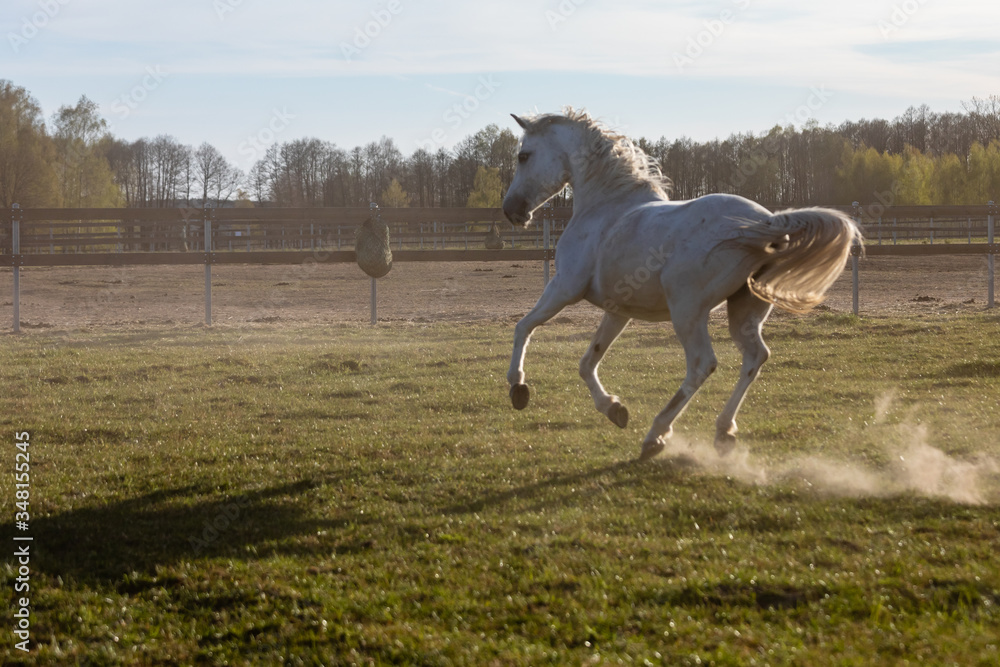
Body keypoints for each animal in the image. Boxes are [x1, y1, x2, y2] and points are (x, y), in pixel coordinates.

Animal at [504, 111, 864, 464]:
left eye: (524, 155)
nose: (512, 211)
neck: (607, 207)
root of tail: (767, 222)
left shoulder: (564, 287)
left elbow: (524, 327)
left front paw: (518, 388)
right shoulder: (618, 311)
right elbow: (587, 361)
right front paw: (614, 409)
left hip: (687, 311)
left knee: (702, 364)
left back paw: (656, 435)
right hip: (744, 309)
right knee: (755, 356)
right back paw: (723, 432)